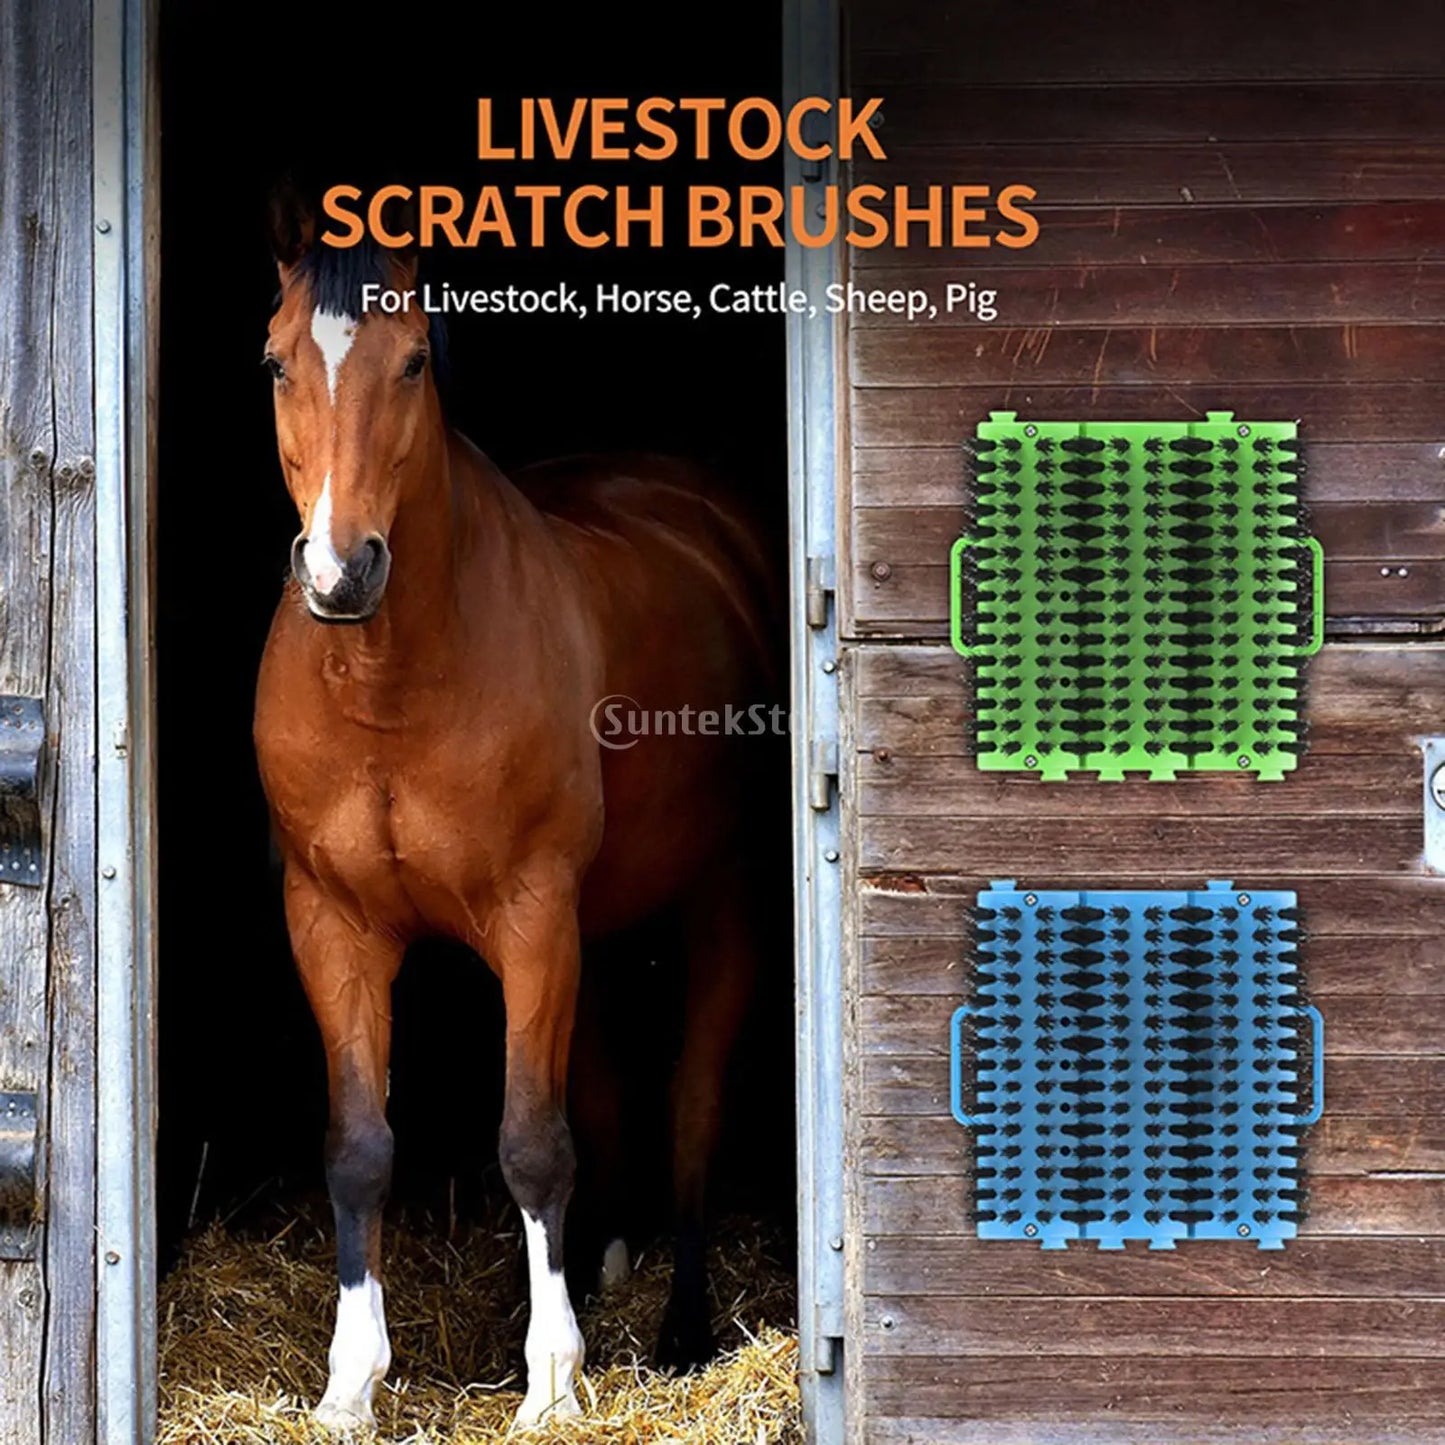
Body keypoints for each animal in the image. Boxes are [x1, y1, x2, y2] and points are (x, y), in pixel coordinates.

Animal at [252, 218, 779, 1430]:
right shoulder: (331, 922)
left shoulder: (533, 917)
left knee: (692, 1101)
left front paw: (550, 1385)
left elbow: (534, 1143)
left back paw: (679, 1328)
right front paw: (348, 1384)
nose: (340, 571)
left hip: (717, 901)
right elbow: (358, 1147)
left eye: (412, 363)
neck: (391, 684)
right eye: (274, 363)